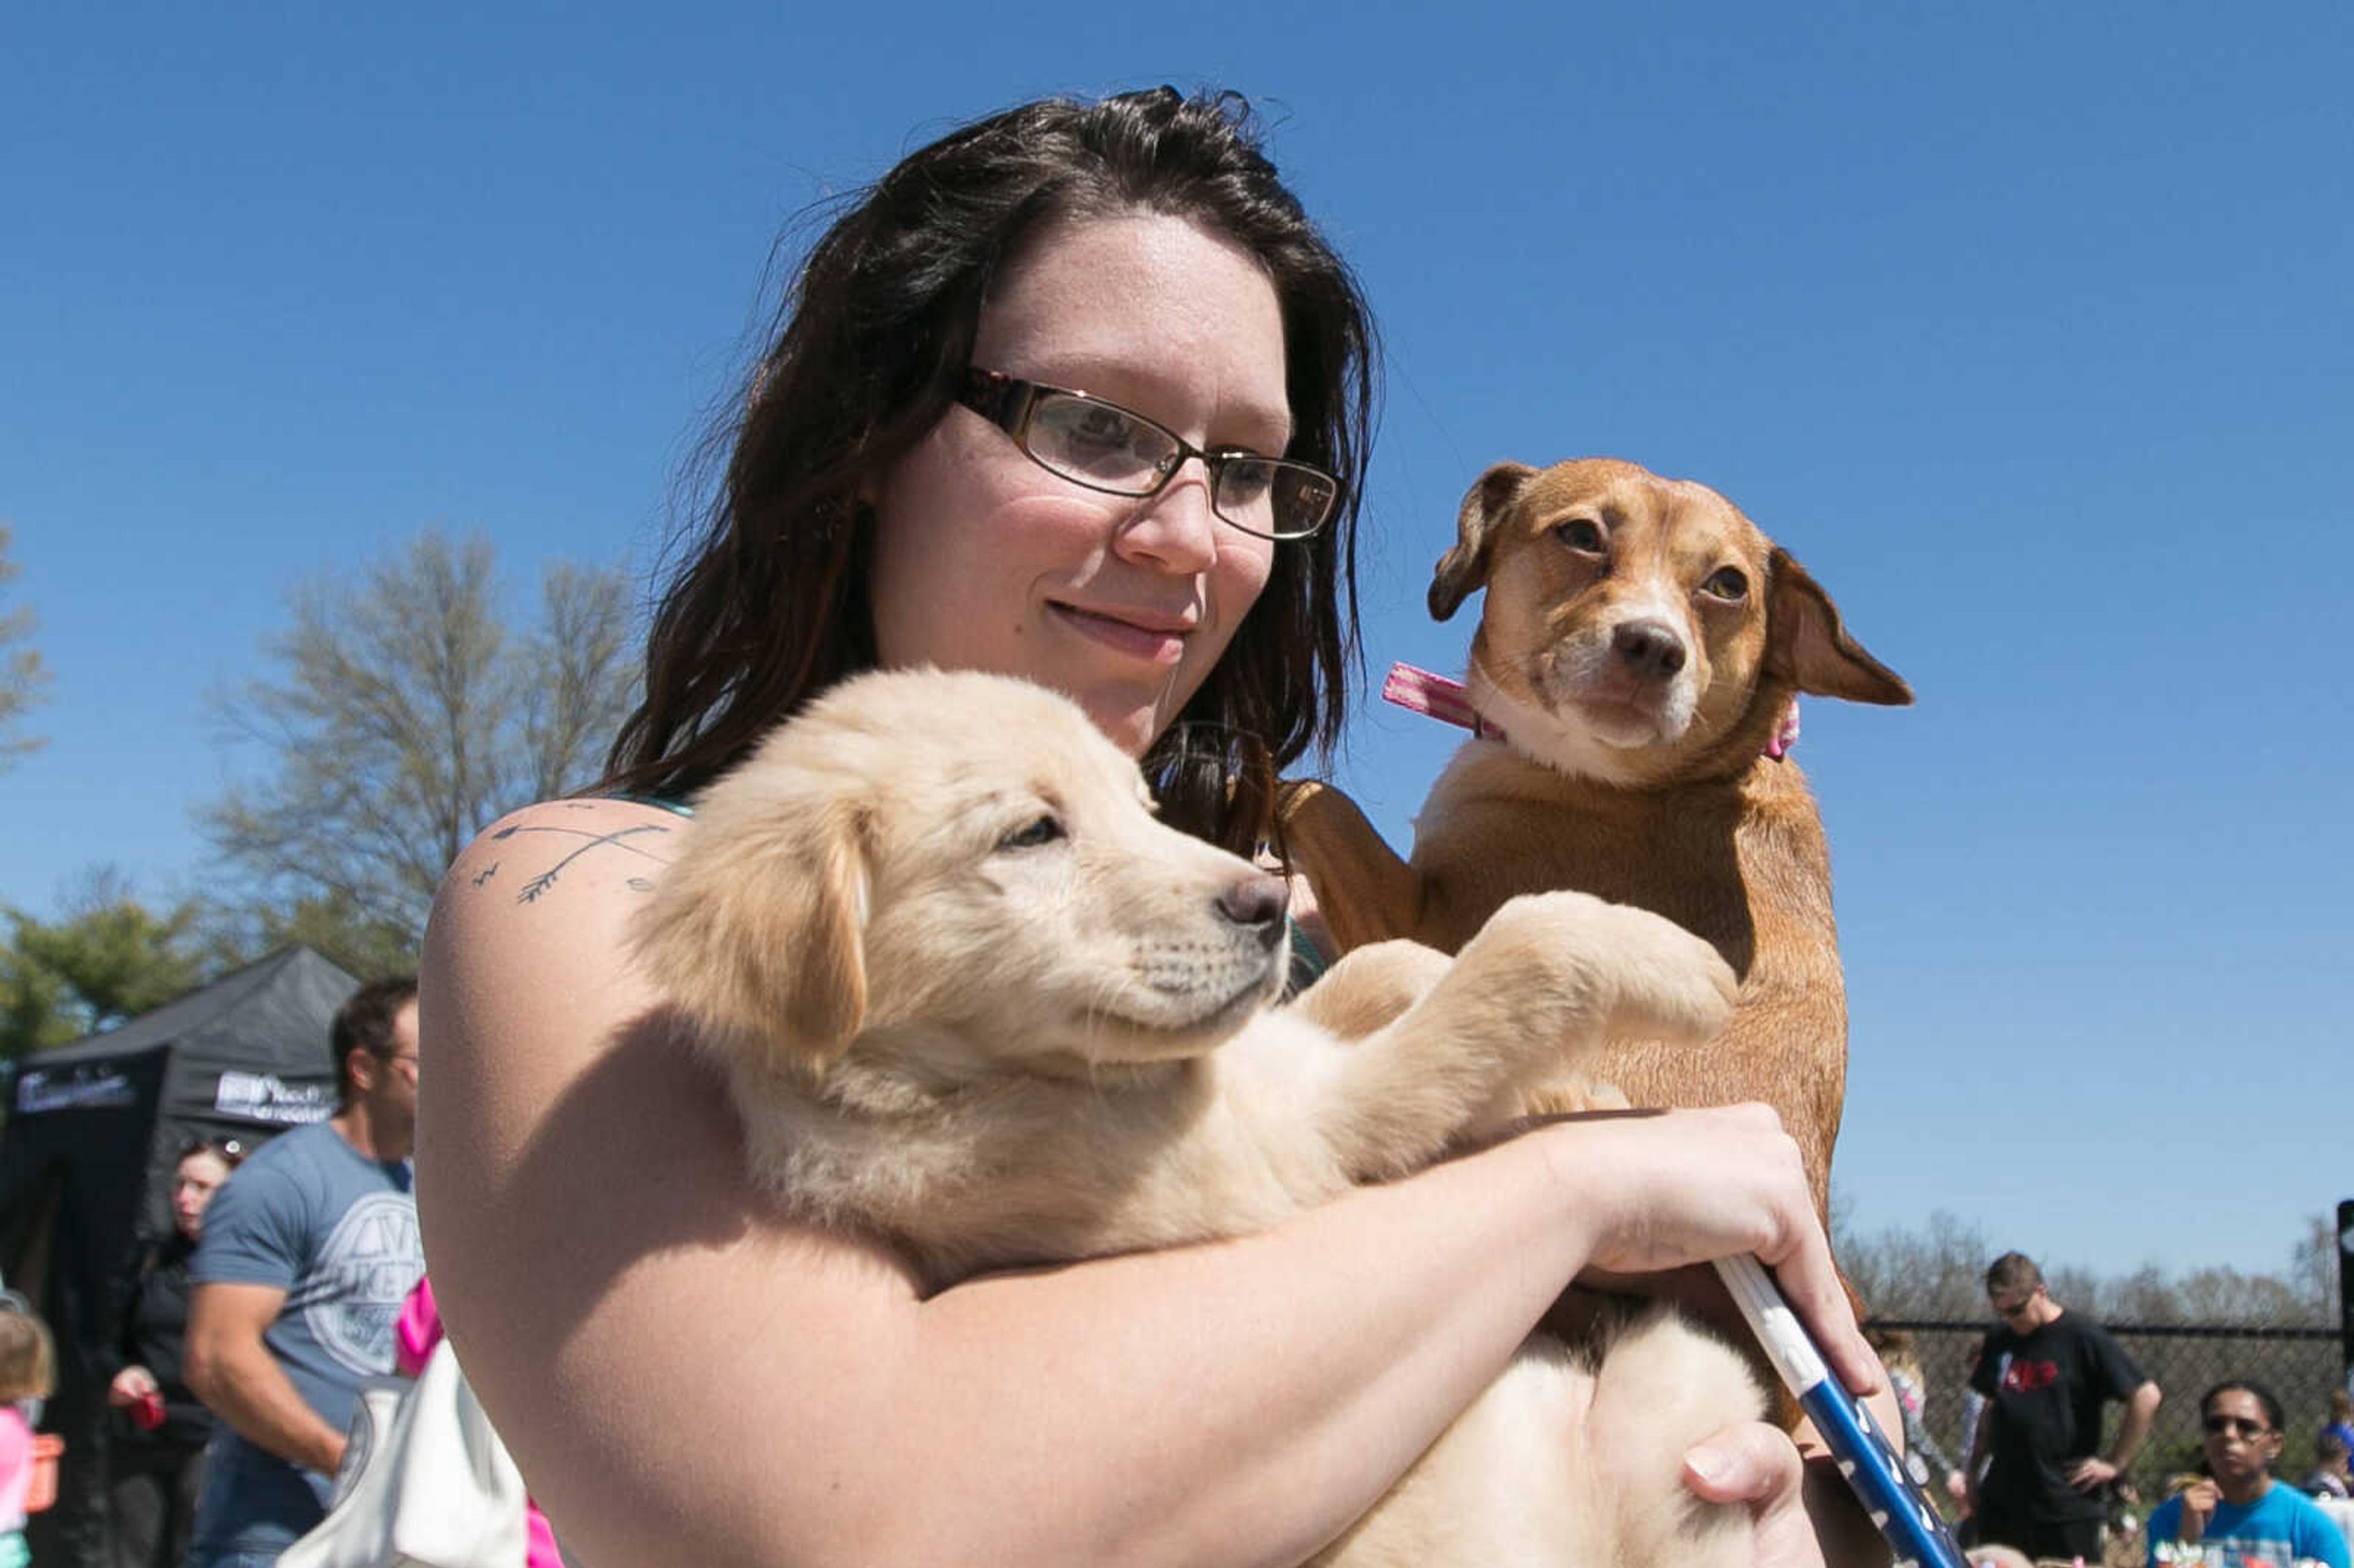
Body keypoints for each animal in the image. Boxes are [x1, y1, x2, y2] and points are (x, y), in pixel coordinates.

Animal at [635, 664, 1770, 1563]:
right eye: (1032, 831)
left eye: (1143, 806)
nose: (1267, 906)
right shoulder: (1327, 1135)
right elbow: (1517, 951)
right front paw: (1677, 963)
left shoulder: (1291, 1051)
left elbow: (1388, 966)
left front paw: (1574, 1083)